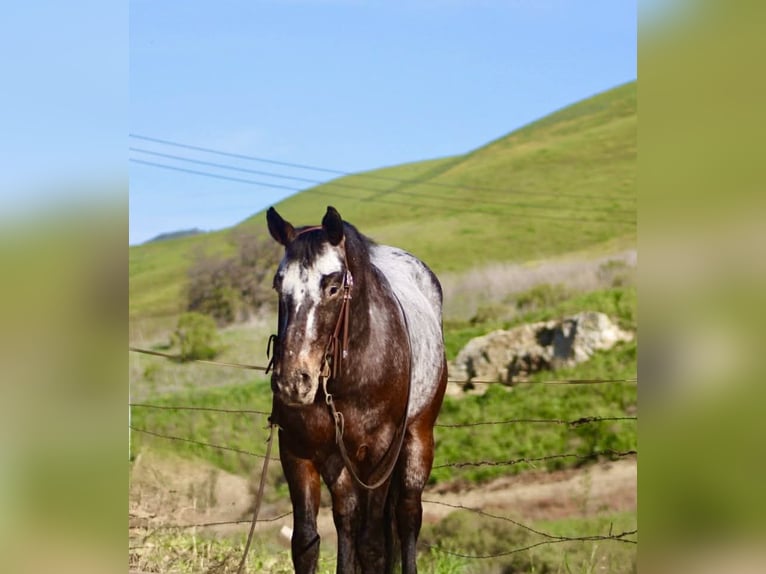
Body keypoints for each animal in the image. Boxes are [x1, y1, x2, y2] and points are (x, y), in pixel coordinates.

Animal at [266, 205, 447, 574]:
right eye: (279, 284)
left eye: (333, 286)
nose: (293, 381)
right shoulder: (297, 451)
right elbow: (306, 543)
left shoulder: (380, 454)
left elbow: (373, 544)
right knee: (349, 519)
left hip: (418, 438)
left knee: (407, 517)